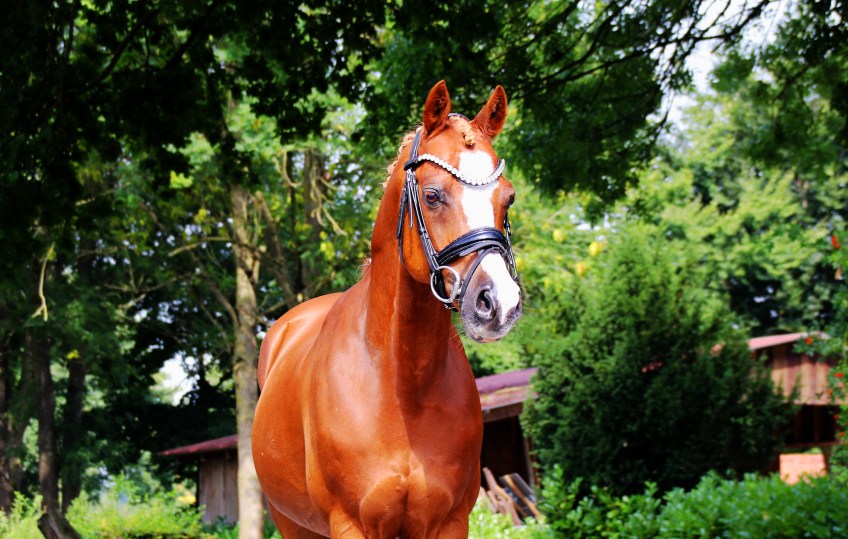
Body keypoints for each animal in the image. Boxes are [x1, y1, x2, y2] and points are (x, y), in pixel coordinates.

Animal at [252, 80, 522, 538]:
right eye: (432, 195)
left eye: (509, 198)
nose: (499, 304)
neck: (400, 384)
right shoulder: (352, 525)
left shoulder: (450, 522)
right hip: (291, 522)